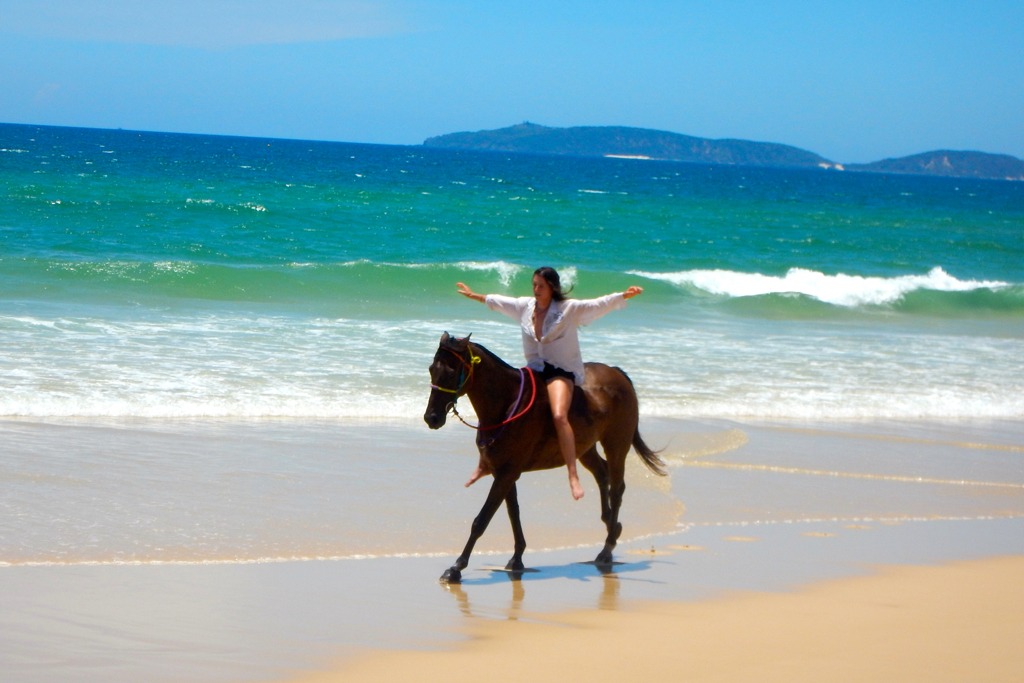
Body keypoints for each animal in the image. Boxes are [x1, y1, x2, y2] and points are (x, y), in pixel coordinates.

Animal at [421, 331, 663, 581]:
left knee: (616, 488)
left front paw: (456, 567)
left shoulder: (506, 474)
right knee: (602, 474)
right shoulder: (504, 472)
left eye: (451, 373)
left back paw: (607, 547)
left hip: (617, 445)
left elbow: (482, 520)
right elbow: (513, 513)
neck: (507, 404)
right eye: (431, 369)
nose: (432, 418)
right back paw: (611, 526)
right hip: (584, 449)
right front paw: (517, 557)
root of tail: (617, 373)